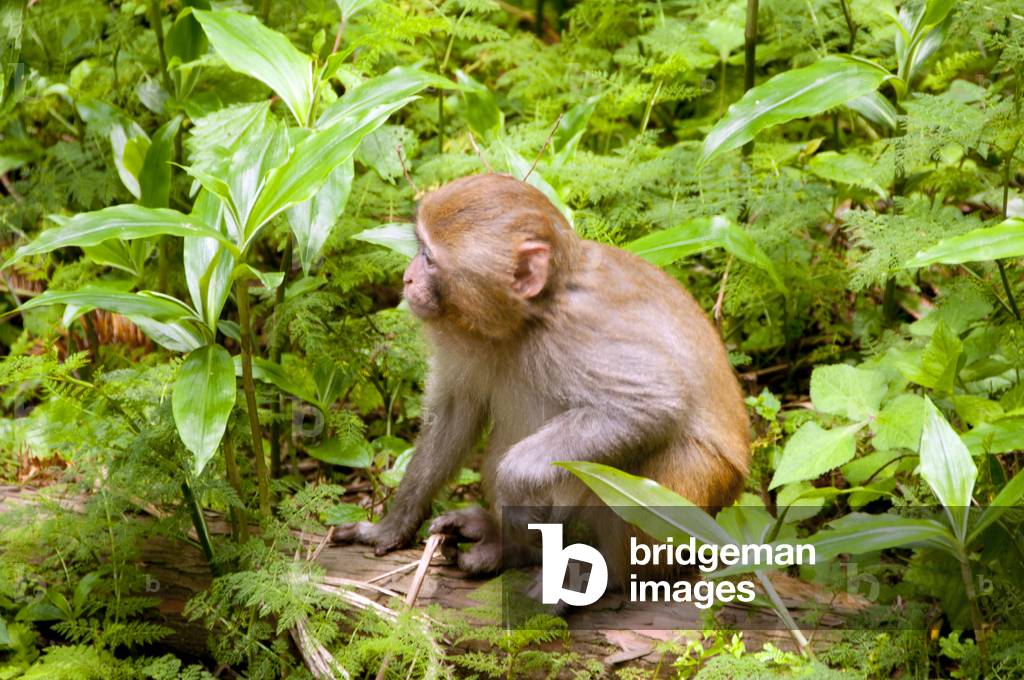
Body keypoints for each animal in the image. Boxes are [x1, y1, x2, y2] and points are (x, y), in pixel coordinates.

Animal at [331, 173, 750, 585]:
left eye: (429, 259)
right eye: (420, 250)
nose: (407, 278)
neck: (525, 321)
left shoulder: (572, 336)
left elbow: (654, 403)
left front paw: (514, 483)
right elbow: (453, 414)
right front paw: (392, 525)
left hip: (696, 492)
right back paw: (509, 546)